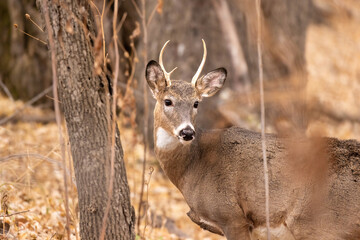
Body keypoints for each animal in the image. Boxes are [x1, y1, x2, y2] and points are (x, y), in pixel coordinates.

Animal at [146, 39, 360, 240]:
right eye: (168, 101)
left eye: (196, 103)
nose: (187, 132)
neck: (192, 167)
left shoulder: (231, 216)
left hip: (320, 224)